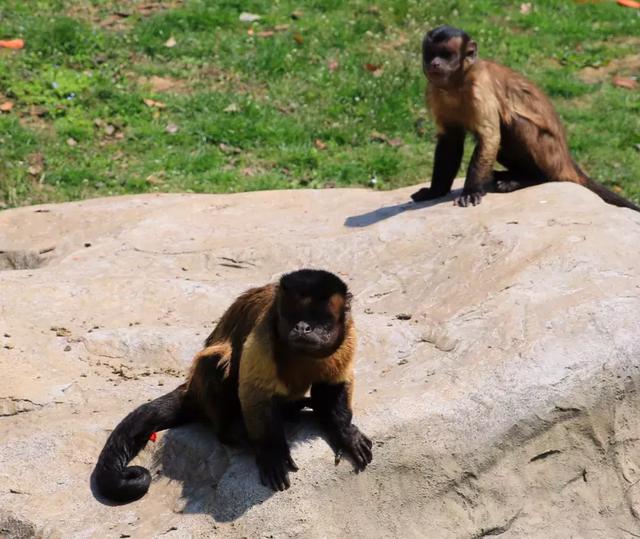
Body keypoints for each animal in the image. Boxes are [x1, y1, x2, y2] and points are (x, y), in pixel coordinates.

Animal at [92, 272, 372, 504]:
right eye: (292, 315)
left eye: (320, 319)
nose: (303, 326)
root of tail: (192, 390)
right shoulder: (264, 332)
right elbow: (255, 394)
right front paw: (271, 452)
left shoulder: (348, 333)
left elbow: (335, 384)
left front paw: (344, 432)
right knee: (216, 362)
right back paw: (233, 433)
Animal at [410, 24, 640, 212]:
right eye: (430, 54)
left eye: (446, 54)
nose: (435, 64)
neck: (457, 85)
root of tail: (566, 158)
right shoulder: (434, 91)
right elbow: (450, 139)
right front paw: (436, 191)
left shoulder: (480, 88)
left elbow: (490, 138)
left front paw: (471, 191)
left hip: (551, 157)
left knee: (514, 124)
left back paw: (529, 179)